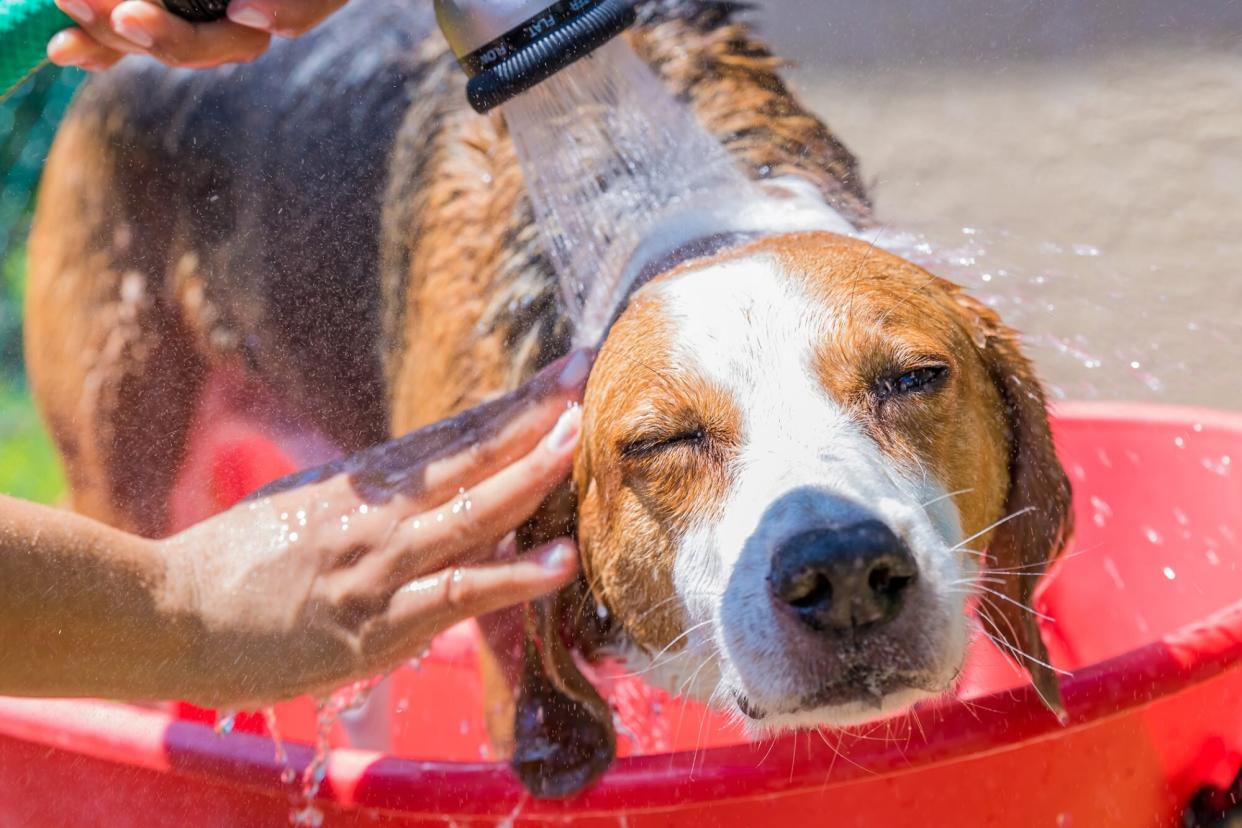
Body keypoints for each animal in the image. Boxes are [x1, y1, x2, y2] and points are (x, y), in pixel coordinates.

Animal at [26, 0, 1078, 799]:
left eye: (915, 379)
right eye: (661, 441)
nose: (847, 572)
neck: (674, 219)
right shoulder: (510, 656)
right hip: (128, 462)